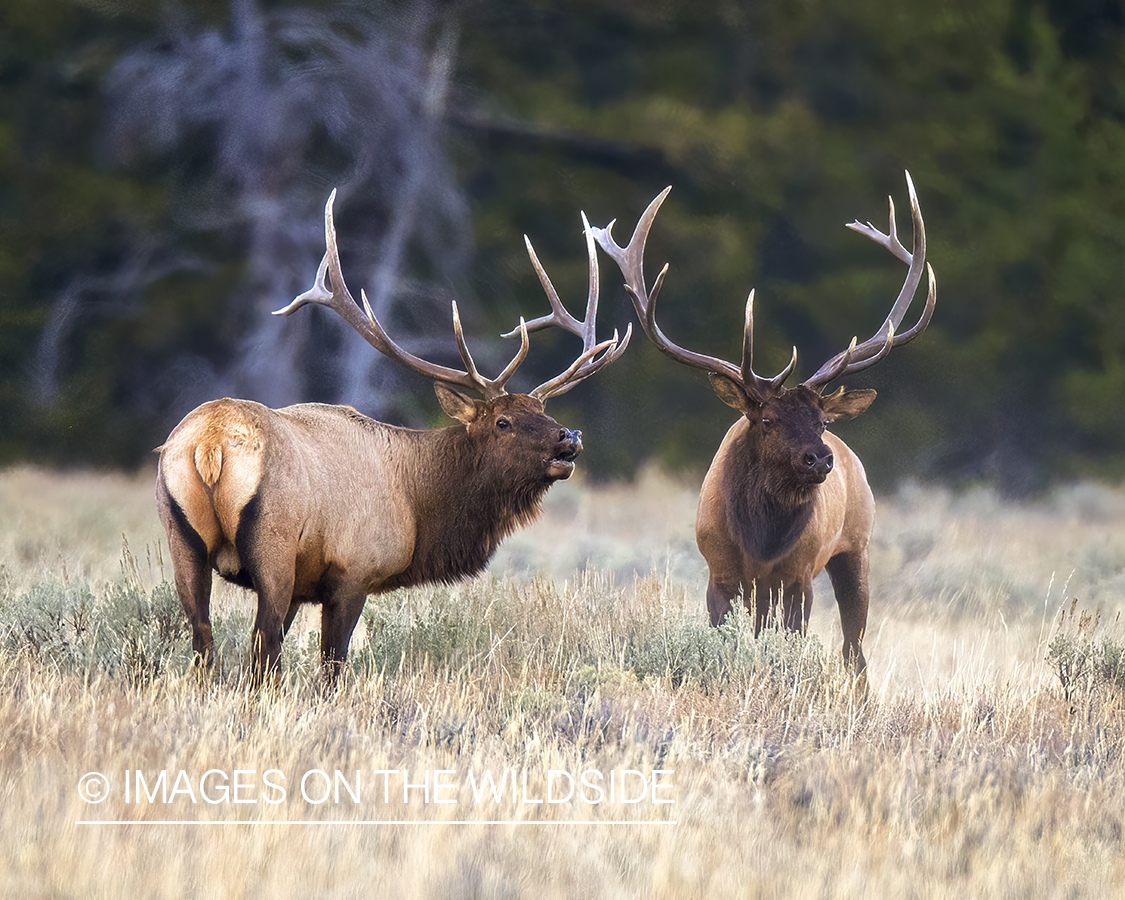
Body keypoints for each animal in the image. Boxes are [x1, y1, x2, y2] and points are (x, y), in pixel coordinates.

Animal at [157, 190, 630, 684]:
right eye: (503, 422)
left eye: (542, 410)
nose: (569, 437)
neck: (416, 505)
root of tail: (208, 444)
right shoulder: (353, 572)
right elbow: (331, 666)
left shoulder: (308, 584)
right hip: (274, 546)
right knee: (263, 647)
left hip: (181, 538)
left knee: (205, 642)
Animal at [594, 172, 936, 675]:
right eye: (768, 419)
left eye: (822, 420)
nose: (820, 458)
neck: (760, 542)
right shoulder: (720, 571)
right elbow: (727, 637)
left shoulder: (798, 574)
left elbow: (791, 639)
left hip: (856, 547)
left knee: (854, 650)